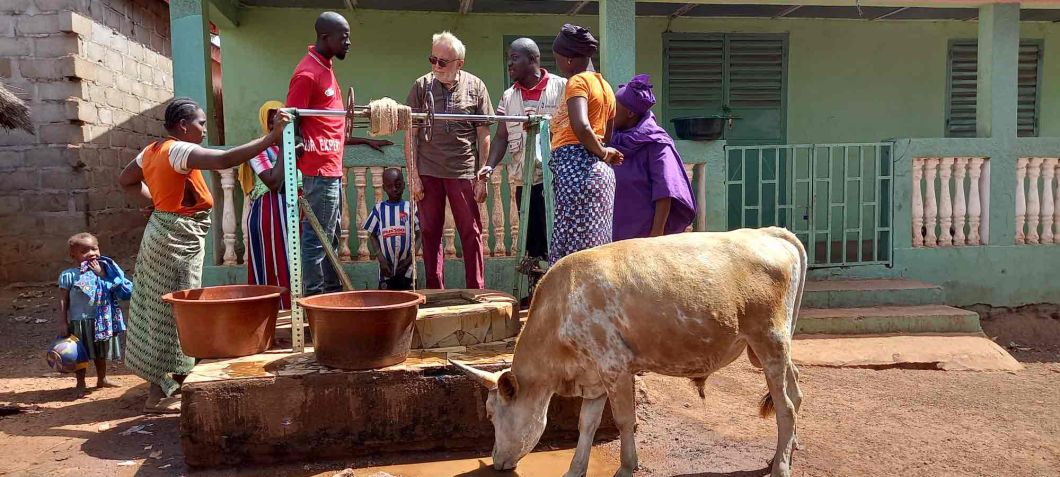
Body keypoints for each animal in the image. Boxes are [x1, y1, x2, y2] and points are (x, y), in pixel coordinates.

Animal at [451, 227, 805, 476]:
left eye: (492, 414)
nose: (496, 461)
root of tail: (768, 232)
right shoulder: (593, 378)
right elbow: (586, 424)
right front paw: (574, 470)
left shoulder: (614, 367)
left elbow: (624, 420)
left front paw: (626, 466)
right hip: (774, 348)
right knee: (795, 392)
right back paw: (783, 452)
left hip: (769, 341)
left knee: (786, 406)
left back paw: (781, 467)